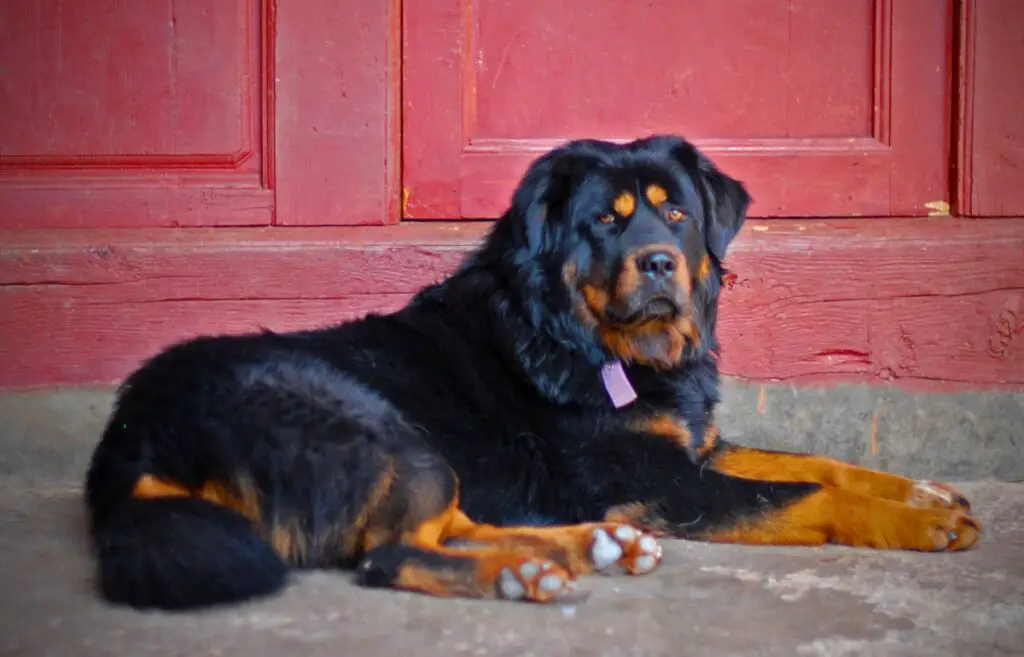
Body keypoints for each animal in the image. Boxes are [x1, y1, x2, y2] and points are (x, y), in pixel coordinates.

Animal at [83, 134, 978, 609]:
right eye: (605, 222)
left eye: (677, 212)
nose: (659, 261)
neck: (598, 346)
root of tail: (131, 433)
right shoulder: (662, 478)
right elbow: (809, 492)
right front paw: (913, 522)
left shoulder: (695, 447)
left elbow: (820, 462)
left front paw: (923, 493)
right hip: (380, 430)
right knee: (391, 551)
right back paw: (530, 570)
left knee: (445, 522)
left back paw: (580, 549)